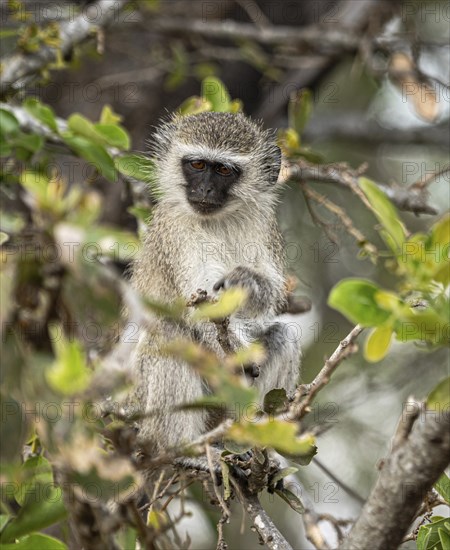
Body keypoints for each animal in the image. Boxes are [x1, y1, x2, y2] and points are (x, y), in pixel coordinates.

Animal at [128, 113, 300, 458]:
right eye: (196, 165)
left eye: (223, 170)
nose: (205, 189)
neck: (218, 220)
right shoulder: (176, 230)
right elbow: (199, 307)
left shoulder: (263, 223)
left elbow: (273, 290)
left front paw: (249, 282)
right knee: (170, 331)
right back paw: (177, 448)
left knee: (283, 335)